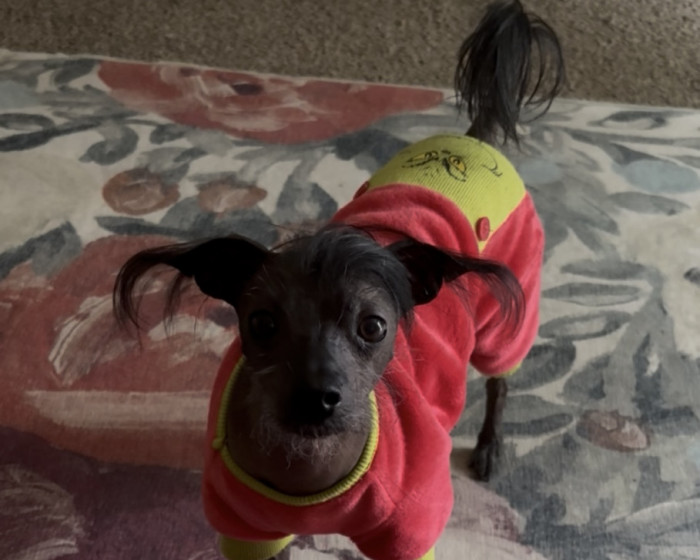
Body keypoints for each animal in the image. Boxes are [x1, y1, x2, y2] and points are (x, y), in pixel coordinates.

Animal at [114, 1, 564, 559]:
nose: (316, 396)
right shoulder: (247, 531)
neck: (310, 477)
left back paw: (489, 448)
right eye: (261, 323)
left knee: (501, 381)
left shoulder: (409, 531)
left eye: (373, 326)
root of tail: (471, 143)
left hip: (503, 326)